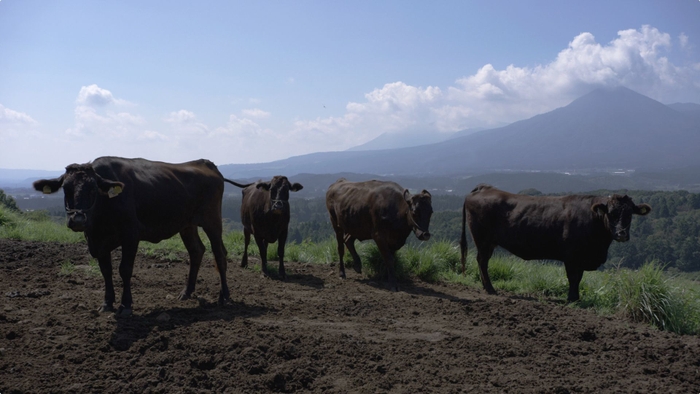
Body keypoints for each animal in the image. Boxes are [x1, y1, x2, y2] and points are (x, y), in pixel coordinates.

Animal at [33, 157, 252, 318]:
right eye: (66, 188)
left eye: (93, 188)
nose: (77, 219)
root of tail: (206, 163)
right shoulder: (98, 242)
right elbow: (106, 271)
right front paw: (107, 303)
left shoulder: (131, 234)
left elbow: (124, 269)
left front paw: (126, 305)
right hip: (187, 224)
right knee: (196, 251)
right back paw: (187, 292)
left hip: (212, 220)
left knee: (219, 253)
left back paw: (224, 296)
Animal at [460, 185, 652, 302]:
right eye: (611, 213)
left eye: (630, 214)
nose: (621, 234)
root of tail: (485, 188)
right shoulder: (572, 256)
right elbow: (573, 278)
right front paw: (572, 299)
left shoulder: (581, 258)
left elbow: (579, 278)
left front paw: (576, 297)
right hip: (483, 240)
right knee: (482, 262)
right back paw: (490, 289)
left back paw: (486, 287)